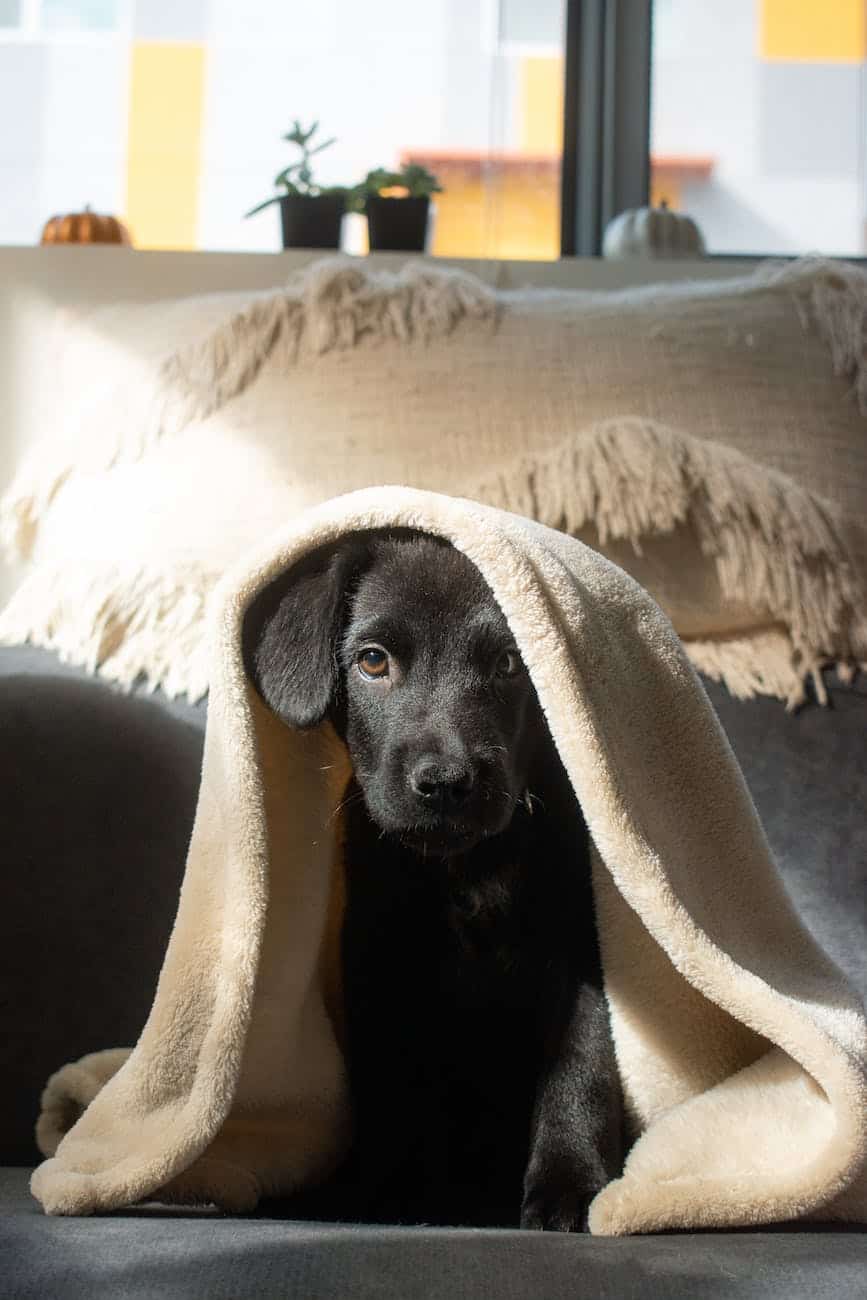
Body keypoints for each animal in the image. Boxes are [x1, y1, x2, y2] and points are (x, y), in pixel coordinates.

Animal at [244, 527, 623, 1227]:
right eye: (372, 661)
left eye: (510, 664)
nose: (445, 784)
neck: (465, 868)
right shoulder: (379, 962)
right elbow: (396, 1093)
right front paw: (400, 1197)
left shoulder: (582, 948)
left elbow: (582, 1065)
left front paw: (571, 1186)